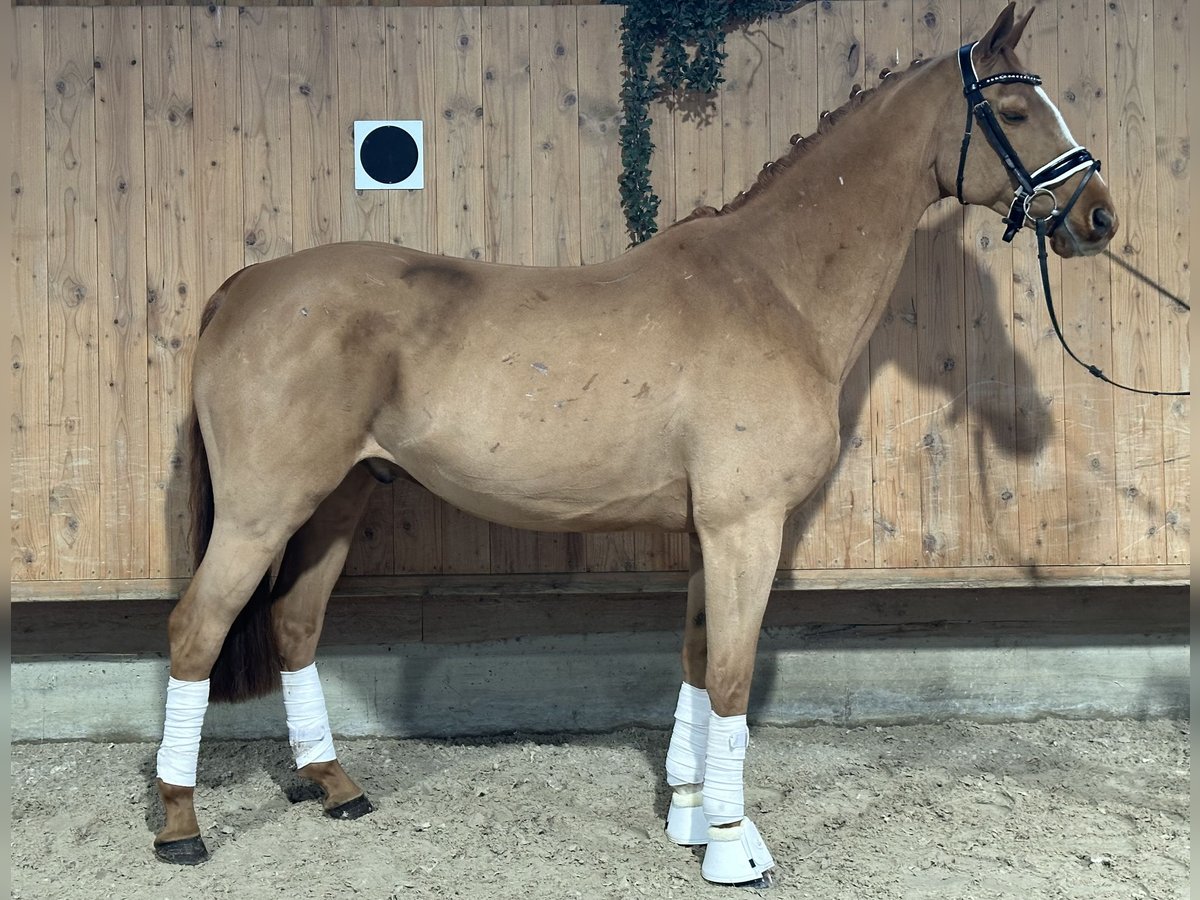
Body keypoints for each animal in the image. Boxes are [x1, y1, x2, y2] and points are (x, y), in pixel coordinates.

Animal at [152, 3, 1113, 883]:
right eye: (1016, 110)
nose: (1100, 216)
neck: (774, 288)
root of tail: (248, 284)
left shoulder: (707, 533)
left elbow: (694, 659)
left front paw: (688, 812)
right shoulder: (745, 528)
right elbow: (731, 678)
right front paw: (731, 845)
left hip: (340, 499)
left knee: (294, 623)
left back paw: (333, 785)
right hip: (263, 510)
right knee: (198, 629)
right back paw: (179, 826)